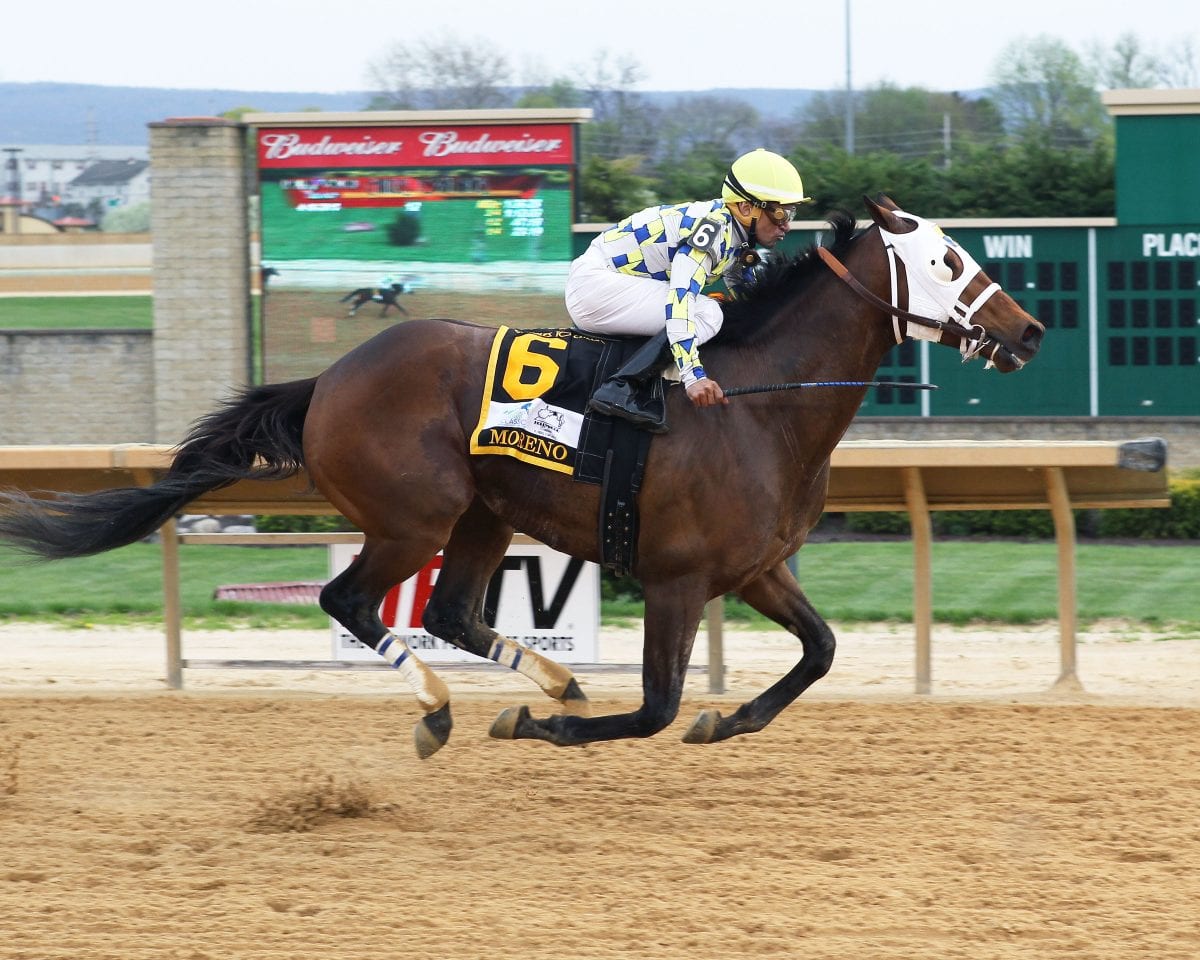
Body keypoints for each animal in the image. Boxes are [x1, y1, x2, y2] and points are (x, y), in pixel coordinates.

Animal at [0, 194, 1041, 758]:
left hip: (484, 514)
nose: (1029, 331)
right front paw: (544, 729)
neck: (757, 402)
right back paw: (443, 709)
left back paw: (555, 680)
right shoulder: (676, 580)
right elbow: (655, 710)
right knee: (353, 600)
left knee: (450, 609)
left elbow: (818, 652)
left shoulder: (755, 569)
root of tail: (329, 379)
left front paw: (726, 720)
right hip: (413, 516)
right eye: (947, 258)